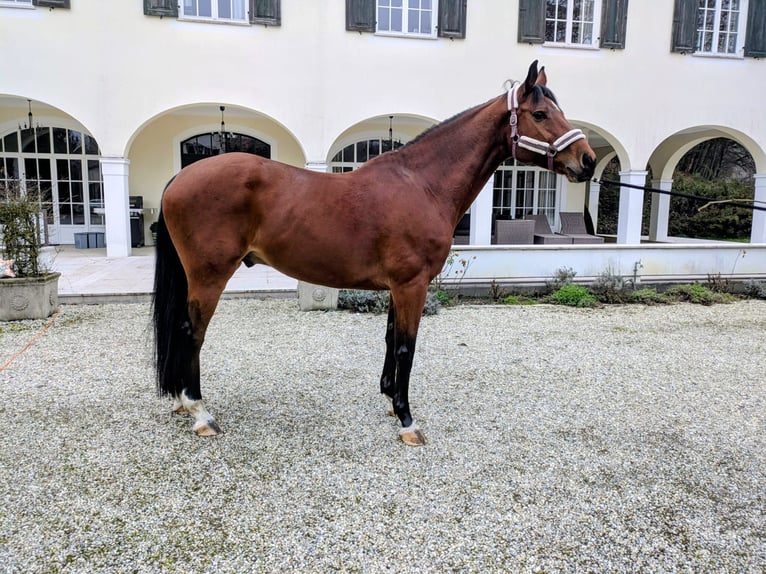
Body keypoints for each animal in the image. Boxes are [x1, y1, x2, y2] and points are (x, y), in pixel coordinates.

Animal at [153, 60, 596, 446]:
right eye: (540, 114)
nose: (588, 160)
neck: (423, 184)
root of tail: (180, 176)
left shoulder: (398, 286)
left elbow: (389, 339)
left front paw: (388, 399)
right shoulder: (412, 285)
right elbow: (406, 347)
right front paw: (407, 420)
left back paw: (182, 403)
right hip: (209, 276)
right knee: (192, 333)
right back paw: (200, 413)